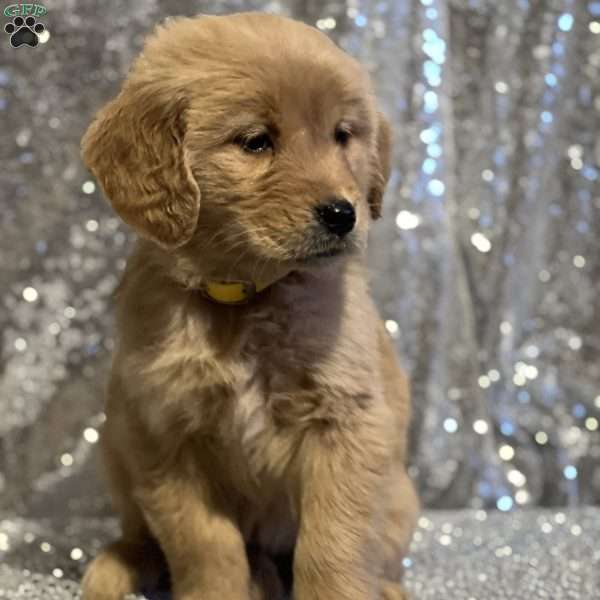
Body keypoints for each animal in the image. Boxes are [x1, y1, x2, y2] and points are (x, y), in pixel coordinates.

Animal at [79, 10, 418, 600]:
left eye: (342, 136)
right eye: (256, 141)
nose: (342, 214)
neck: (243, 296)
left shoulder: (348, 424)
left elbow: (334, 544)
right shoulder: (164, 436)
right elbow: (203, 544)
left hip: (401, 496)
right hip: (115, 445)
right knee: (142, 534)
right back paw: (118, 566)